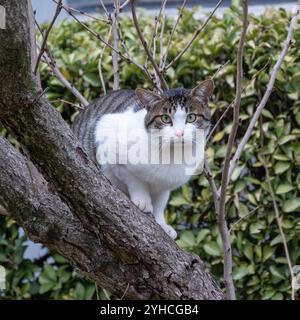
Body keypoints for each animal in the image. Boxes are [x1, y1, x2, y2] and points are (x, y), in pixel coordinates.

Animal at [72, 79, 213, 239]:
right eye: (165, 118)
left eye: (191, 117)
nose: (179, 133)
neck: (172, 154)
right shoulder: (109, 145)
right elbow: (135, 181)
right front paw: (143, 201)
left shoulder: (164, 185)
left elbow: (160, 203)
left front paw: (161, 224)